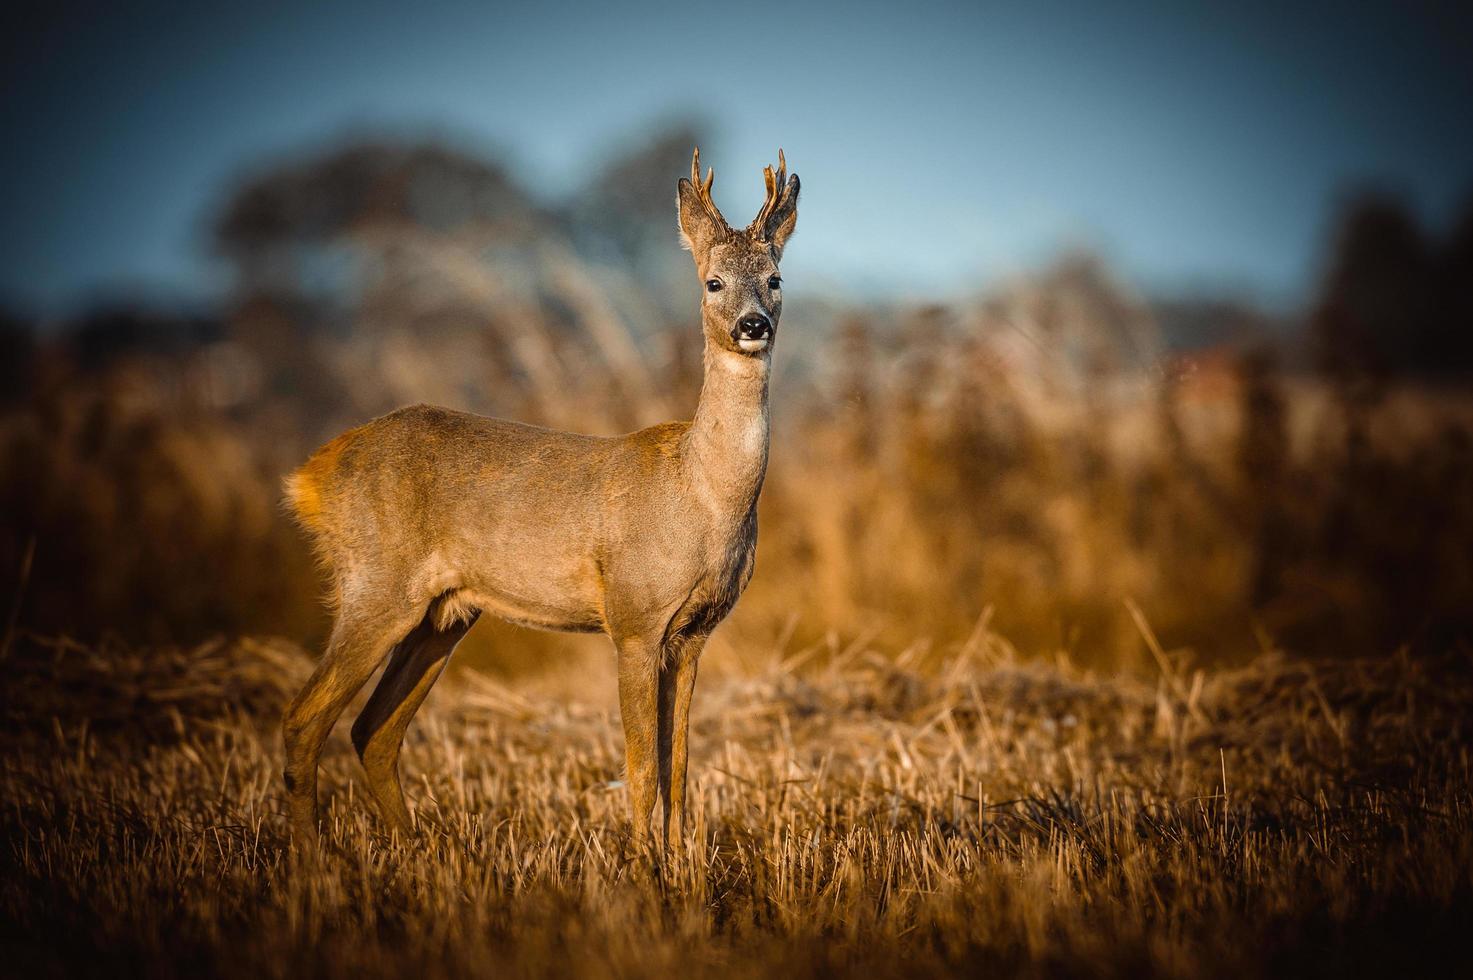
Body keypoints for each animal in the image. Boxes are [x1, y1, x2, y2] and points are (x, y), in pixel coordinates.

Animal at [281, 148, 801, 842]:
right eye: (713, 283)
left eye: (775, 278)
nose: (753, 324)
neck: (703, 496)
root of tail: (315, 473)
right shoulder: (634, 618)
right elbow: (642, 770)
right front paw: (644, 866)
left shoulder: (694, 633)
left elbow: (681, 769)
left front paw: (681, 861)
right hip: (376, 582)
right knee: (304, 718)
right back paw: (314, 858)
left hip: (443, 613)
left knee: (374, 730)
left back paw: (417, 850)